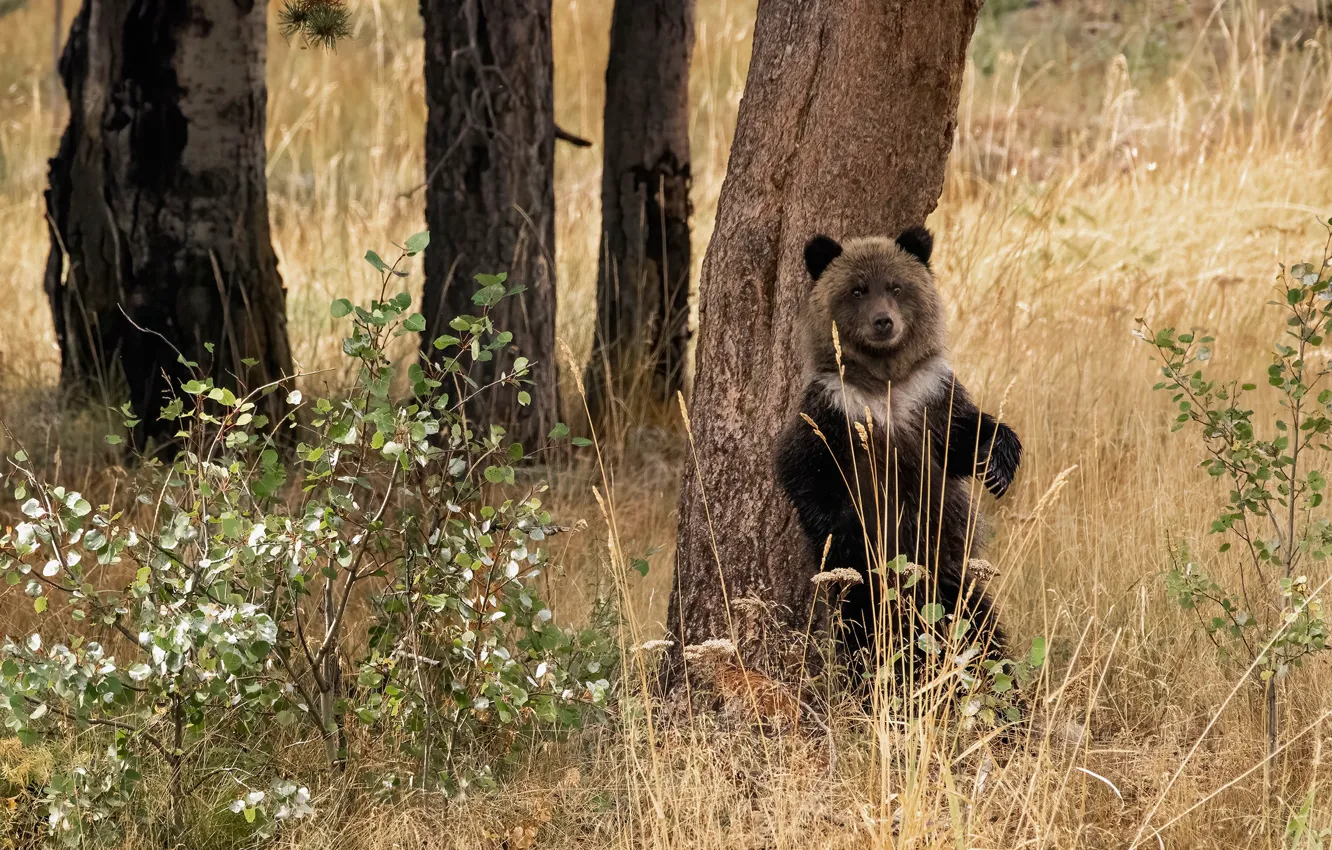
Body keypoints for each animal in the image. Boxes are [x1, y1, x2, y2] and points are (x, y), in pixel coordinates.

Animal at [774, 226, 1022, 685]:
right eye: (857, 289)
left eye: (895, 286)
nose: (883, 321)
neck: (884, 383)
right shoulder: (833, 409)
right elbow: (803, 470)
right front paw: (841, 527)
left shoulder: (929, 397)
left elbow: (966, 432)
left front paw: (997, 463)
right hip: (870, 597)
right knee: (862, 632)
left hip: (949, 572)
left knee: (978, 621)